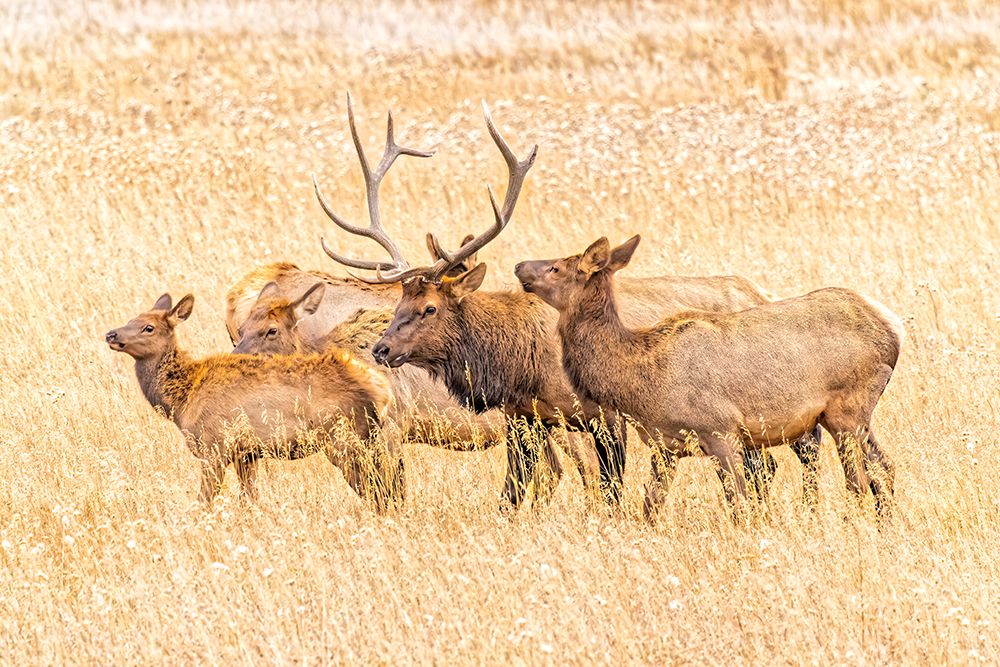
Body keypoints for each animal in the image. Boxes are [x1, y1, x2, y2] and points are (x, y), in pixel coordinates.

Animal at [105, 293, 403, 511]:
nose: (111, 334)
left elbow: (203, 502)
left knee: (377, 490)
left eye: (148, 327)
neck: (181, 400)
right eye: (131, 319)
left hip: (344, 438)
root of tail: (381, 389)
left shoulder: (215, 446)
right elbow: (250, 499)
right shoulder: (246, 453)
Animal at [318, 99, 816, 509]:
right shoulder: (524, 419)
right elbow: (513, 492)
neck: (522, 365)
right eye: (400, 300)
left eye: (430, 308)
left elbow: (610, 490)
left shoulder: (605, 415)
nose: (381, 349)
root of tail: (757, 292)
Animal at [514, 235, 902, 519]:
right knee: (884, 468)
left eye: (556, 267)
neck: (638, 379)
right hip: (853, 417)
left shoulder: (721, 431)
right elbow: (650, 507)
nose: (518, 264)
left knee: (860, 480)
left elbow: (739, 505)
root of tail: (892, 326)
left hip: (847, 411)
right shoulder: (665, 446)